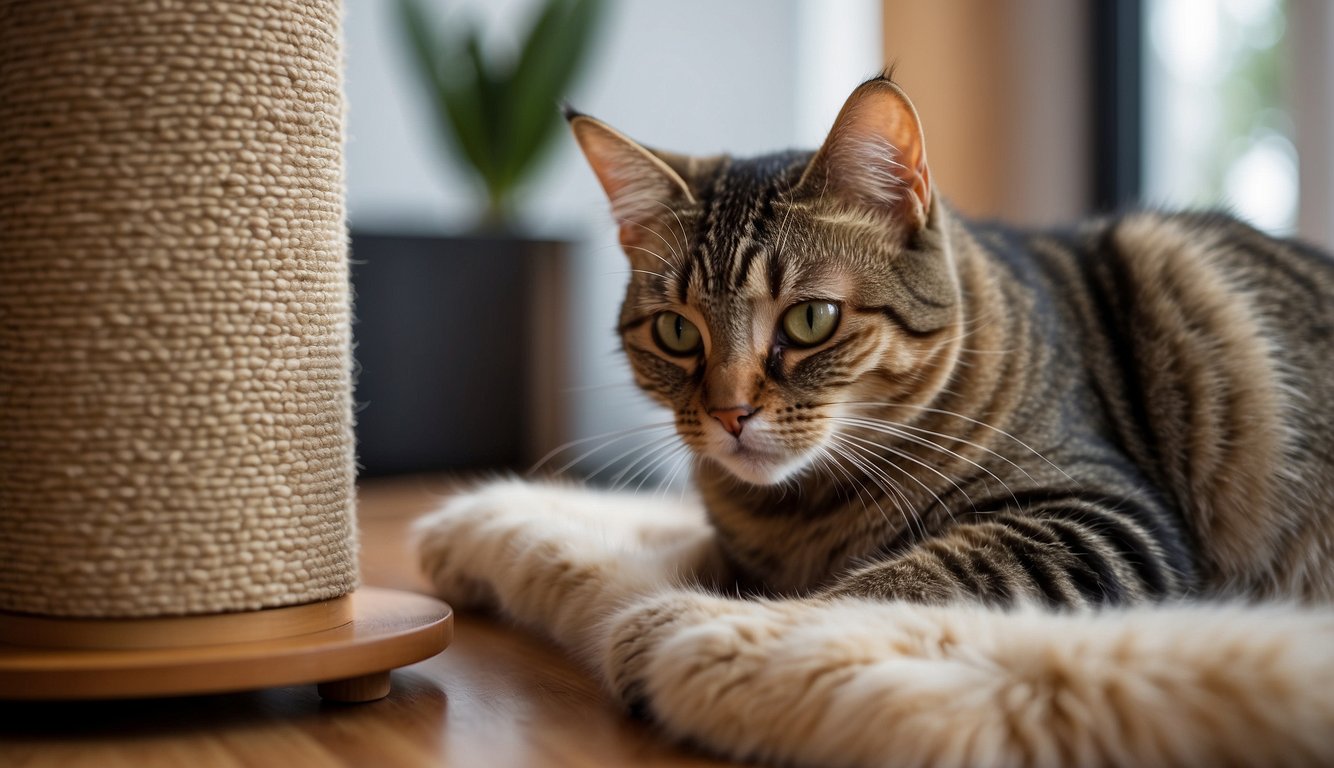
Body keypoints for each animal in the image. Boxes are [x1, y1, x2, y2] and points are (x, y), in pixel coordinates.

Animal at [416, 75, 1334, 762]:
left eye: (810, 320)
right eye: (677, 332)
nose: (729, 413)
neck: (801, 516)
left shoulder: (1103, 518)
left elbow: (881, 586)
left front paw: (694, 629)